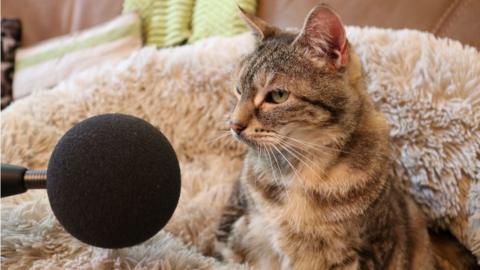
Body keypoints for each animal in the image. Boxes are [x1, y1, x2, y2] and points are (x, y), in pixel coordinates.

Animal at [213, 4, 436, 270]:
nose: (234, 125)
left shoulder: (368, 249)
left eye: (278, 96)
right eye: (238, 90)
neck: (303, 168)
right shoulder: (238, 228)